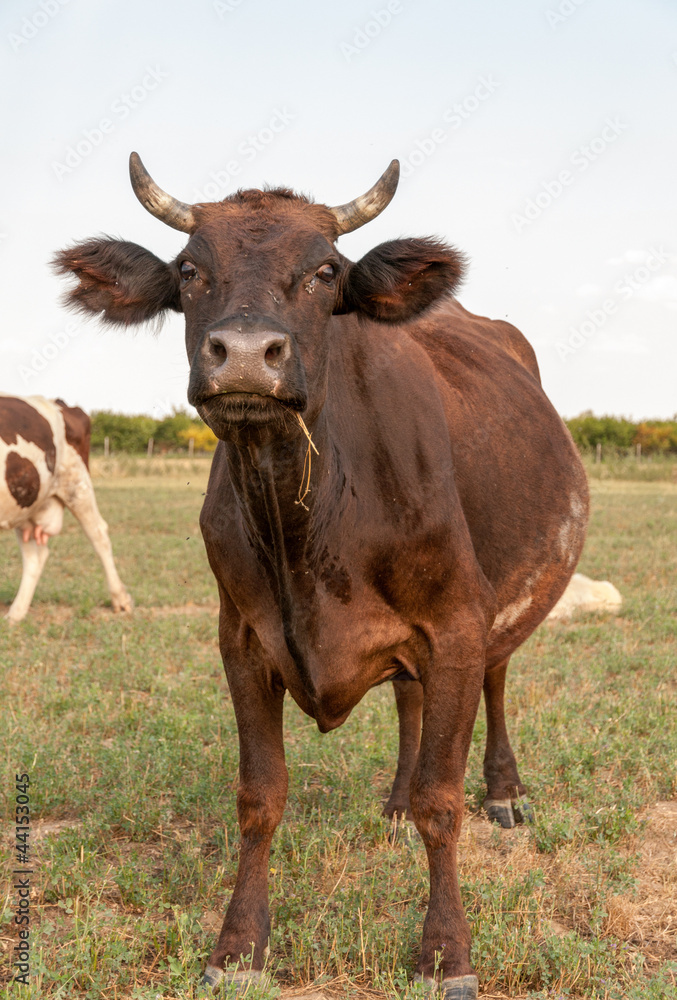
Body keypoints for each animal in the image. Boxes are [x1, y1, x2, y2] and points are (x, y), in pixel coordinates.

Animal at [55, 152, 588, 996]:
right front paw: (238, 945)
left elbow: (444, 799)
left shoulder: (456, 623)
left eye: (325, 271)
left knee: (498, 680)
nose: (245, 353)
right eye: (188, 270)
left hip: (501, 600)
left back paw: (505, 792)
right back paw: (393, 802)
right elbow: (259, 796)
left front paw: (445, 951)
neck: (304, 522)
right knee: (408, 699)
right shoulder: (242, 639)